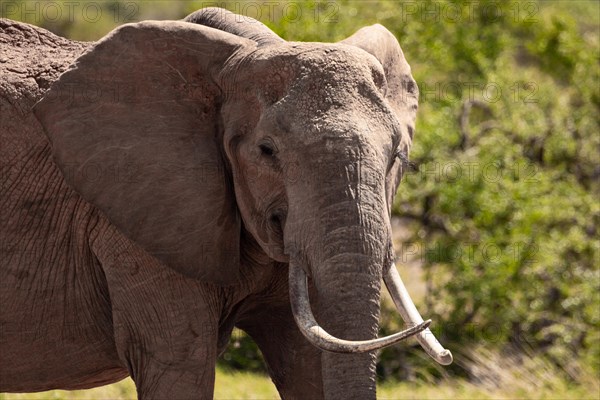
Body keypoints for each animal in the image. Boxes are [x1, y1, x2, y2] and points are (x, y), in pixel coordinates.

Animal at [0, 7, 450, 400]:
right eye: (267, 151)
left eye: (397, 156)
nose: (442, 350)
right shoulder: (137, 223)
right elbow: (180, 365)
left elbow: (310, 363)